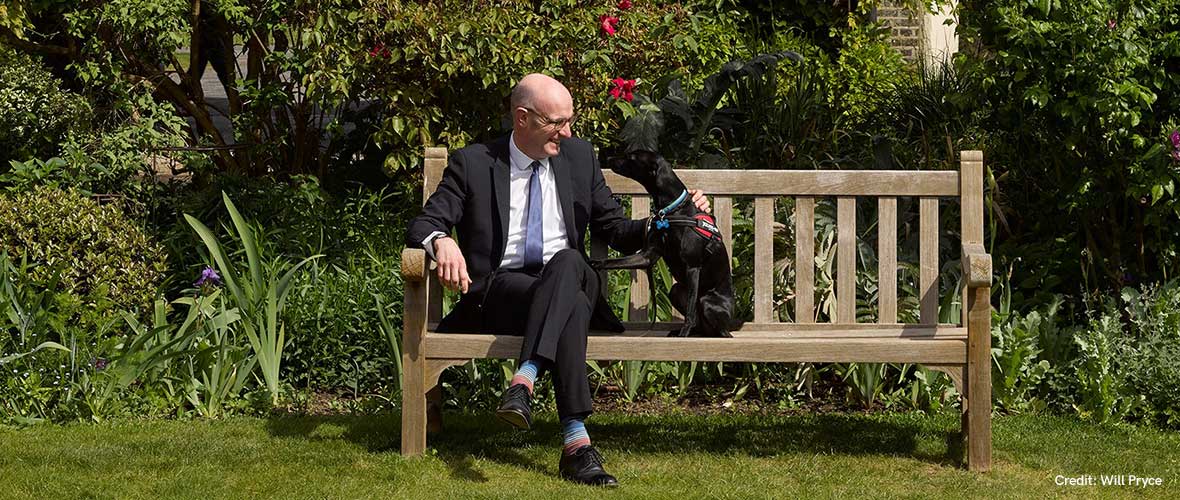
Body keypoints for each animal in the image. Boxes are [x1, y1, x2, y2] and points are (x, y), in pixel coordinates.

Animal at [599, 150, 736, 337]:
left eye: (632, 158)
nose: (608, 159)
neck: (672, 210)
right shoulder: (647, 255)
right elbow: (613, 262)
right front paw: (593, 263)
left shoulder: (693, 267)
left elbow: (690, 311)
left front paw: (684, 334)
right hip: (676, 291)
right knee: (699, 323)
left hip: (707, 302)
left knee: (717, 328)